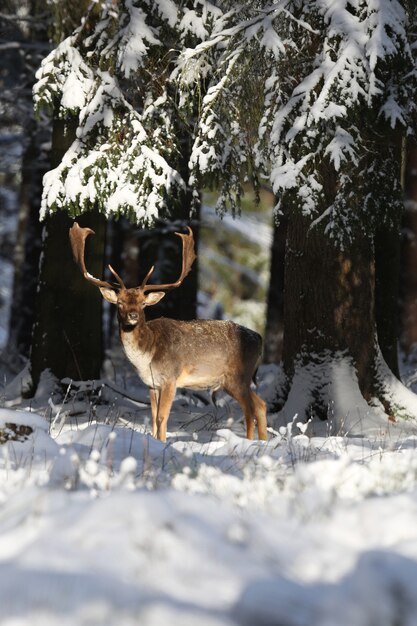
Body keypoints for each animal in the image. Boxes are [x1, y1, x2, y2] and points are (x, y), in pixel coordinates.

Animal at [68, 222, 266, 442]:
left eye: (143, 303)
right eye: (120, 303)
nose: (132, 315)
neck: (147, 355)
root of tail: (258, 337)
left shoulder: (171, 378)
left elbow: (162, 417)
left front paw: (162, 443)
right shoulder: (151, 384)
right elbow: (154, 418)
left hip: (238, 376)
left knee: (250, 409)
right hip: (234, 380)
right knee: (261, 405)